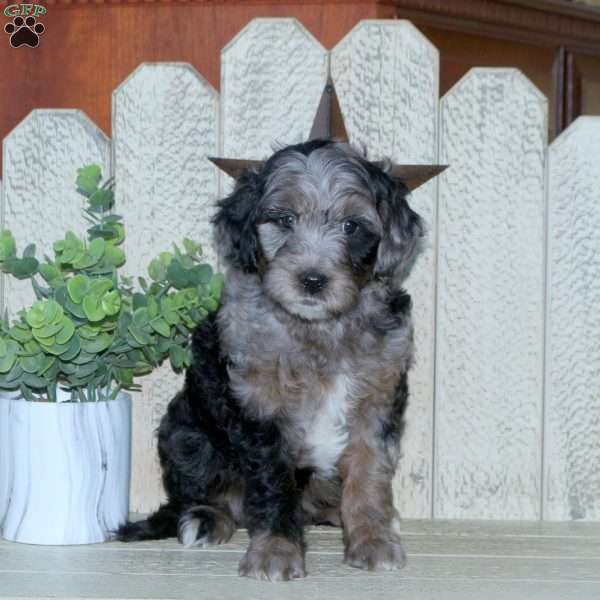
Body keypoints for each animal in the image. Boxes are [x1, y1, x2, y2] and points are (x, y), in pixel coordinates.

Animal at [116, 137, 422, 580]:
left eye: (351, 226)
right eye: (283, 220)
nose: (312, 280)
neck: (319, 330)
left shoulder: (379, 397)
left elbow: (369, 473)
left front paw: (373, 538)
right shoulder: (260, 404)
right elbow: (273, 484)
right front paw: (276, 552)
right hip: (186, 435)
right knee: (205, 495)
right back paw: (205, 519)